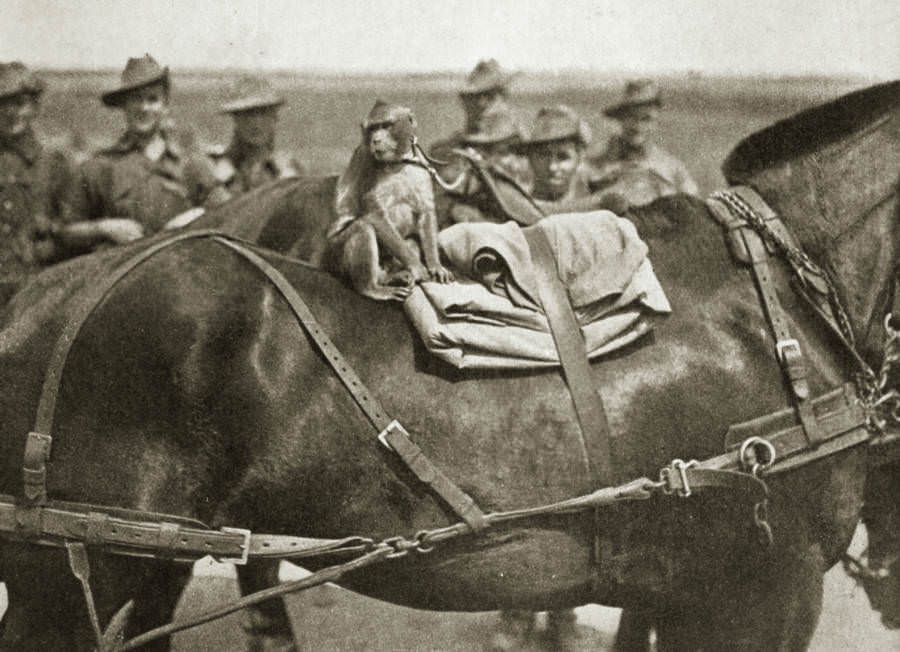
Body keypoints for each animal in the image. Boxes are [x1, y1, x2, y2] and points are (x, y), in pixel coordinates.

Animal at [326, 100, 458, 304]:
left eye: (385, 126)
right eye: (372, 129)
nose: (376, 140)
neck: (400, 161)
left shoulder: (421, 165)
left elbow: (425, 211)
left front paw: (435, 265)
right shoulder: (367, 160)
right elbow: (375, 215)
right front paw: (417, 267)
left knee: (411, 239)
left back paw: (391, 277)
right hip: (335, 256)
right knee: (362, 228)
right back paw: (372, 287)